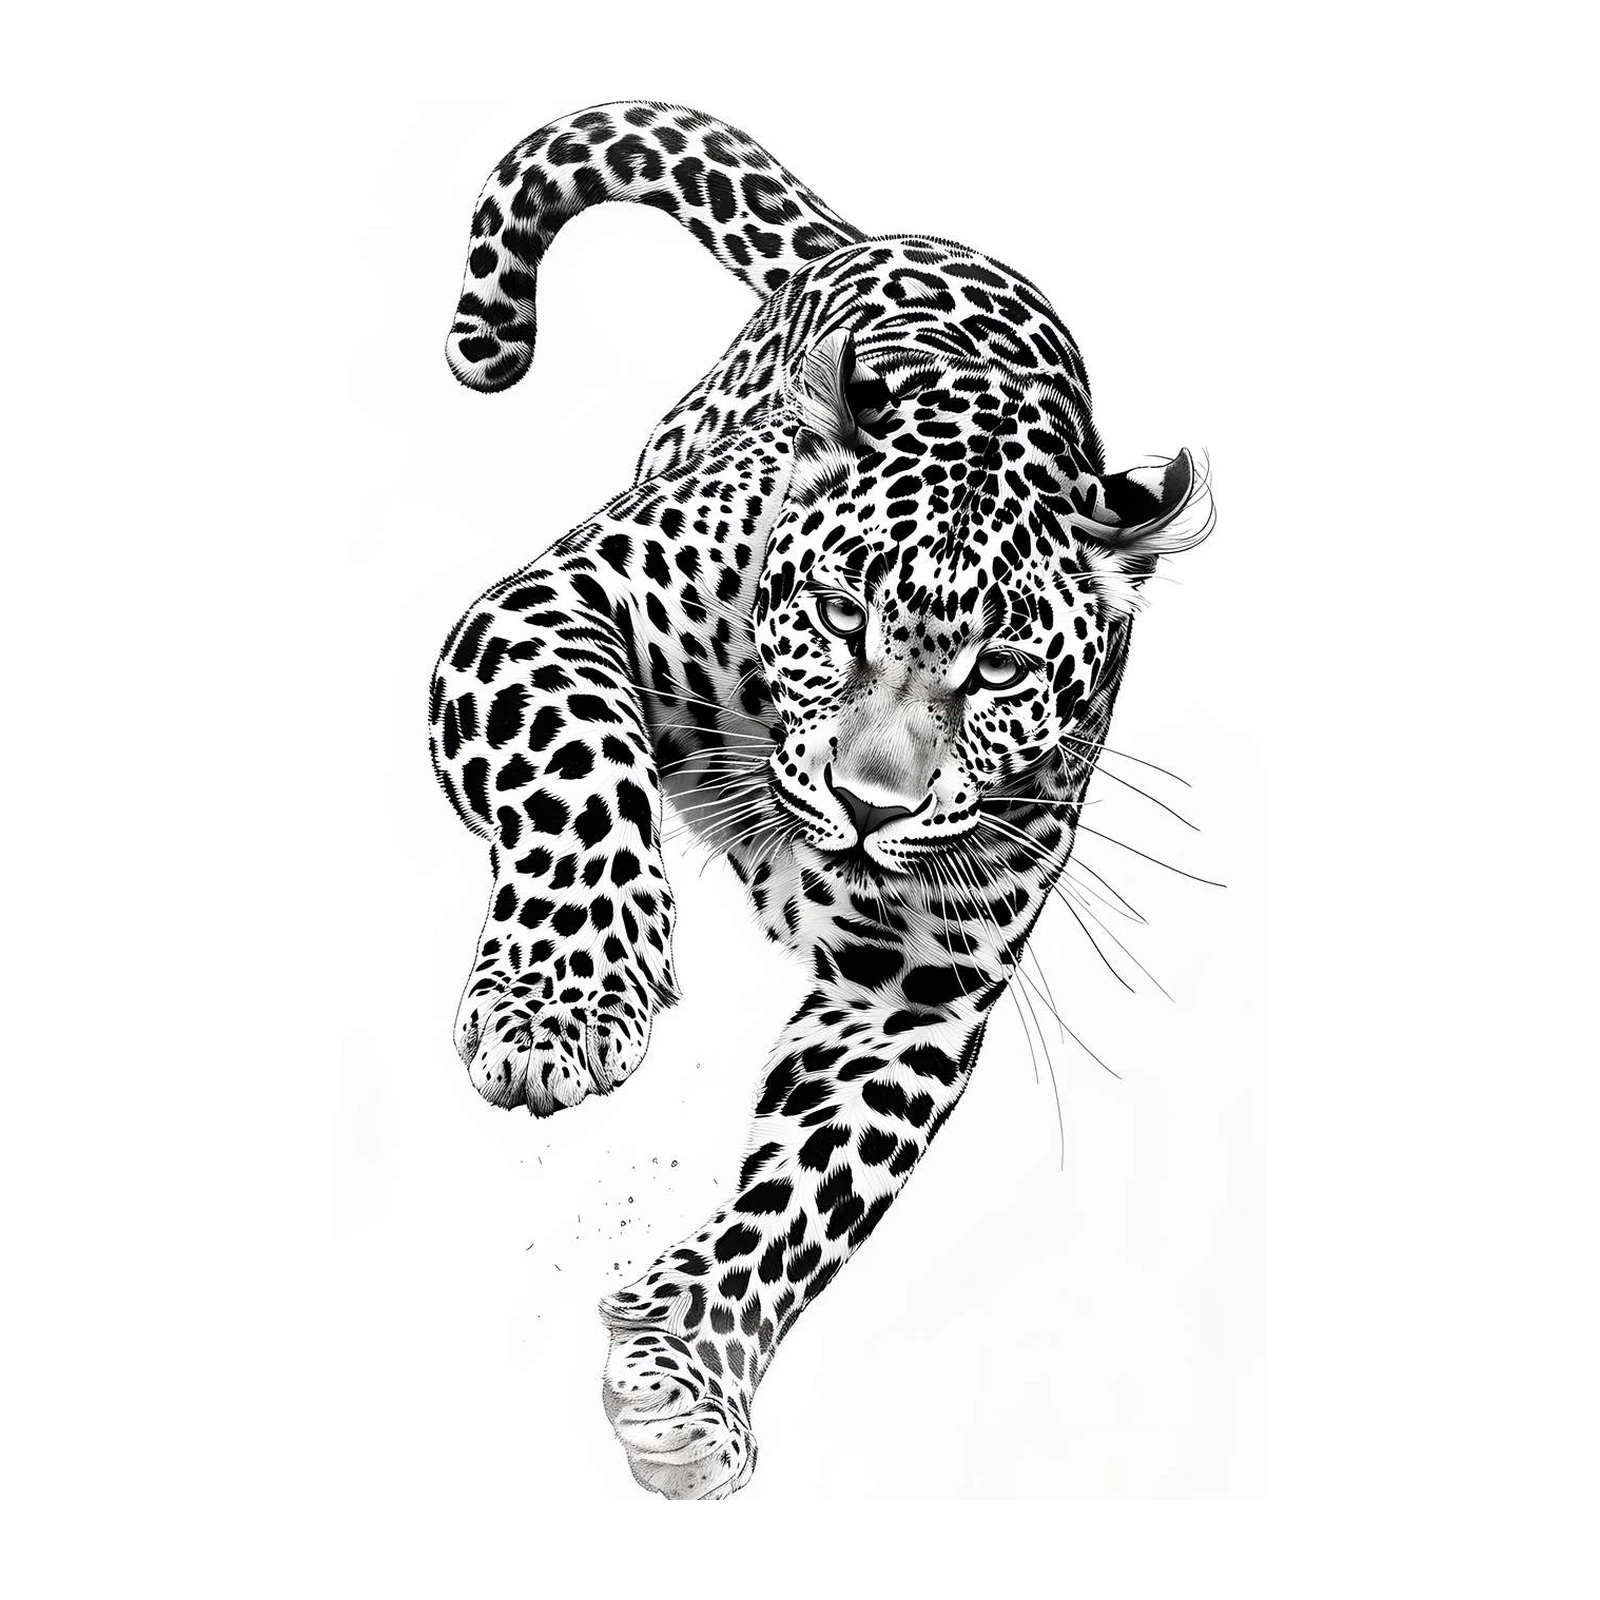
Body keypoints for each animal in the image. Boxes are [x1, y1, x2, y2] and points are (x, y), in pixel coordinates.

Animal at [430, 99, 1213, 1502]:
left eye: (999, 668)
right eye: (843, 615)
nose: (867, 805)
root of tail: (893, 234)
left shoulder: (915, 990)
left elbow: (810, 1192)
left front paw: (689, 1375)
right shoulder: (546, 608)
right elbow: (583, 771)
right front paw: (561, 1003)